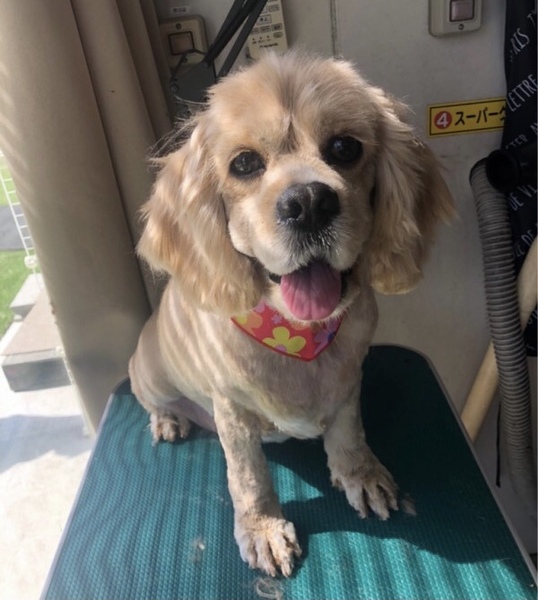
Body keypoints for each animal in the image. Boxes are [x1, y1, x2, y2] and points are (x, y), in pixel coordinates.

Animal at [129, 51, 454, 577]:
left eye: (345, 147)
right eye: (243, 163)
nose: (309, 203)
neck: (297, 333)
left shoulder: (349, 380)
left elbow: (348, 432)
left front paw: (359, 473)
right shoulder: (232, 413)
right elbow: (249, 478)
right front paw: (263, 528)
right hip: (151, 374)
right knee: (148, 398)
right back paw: (168, 419)